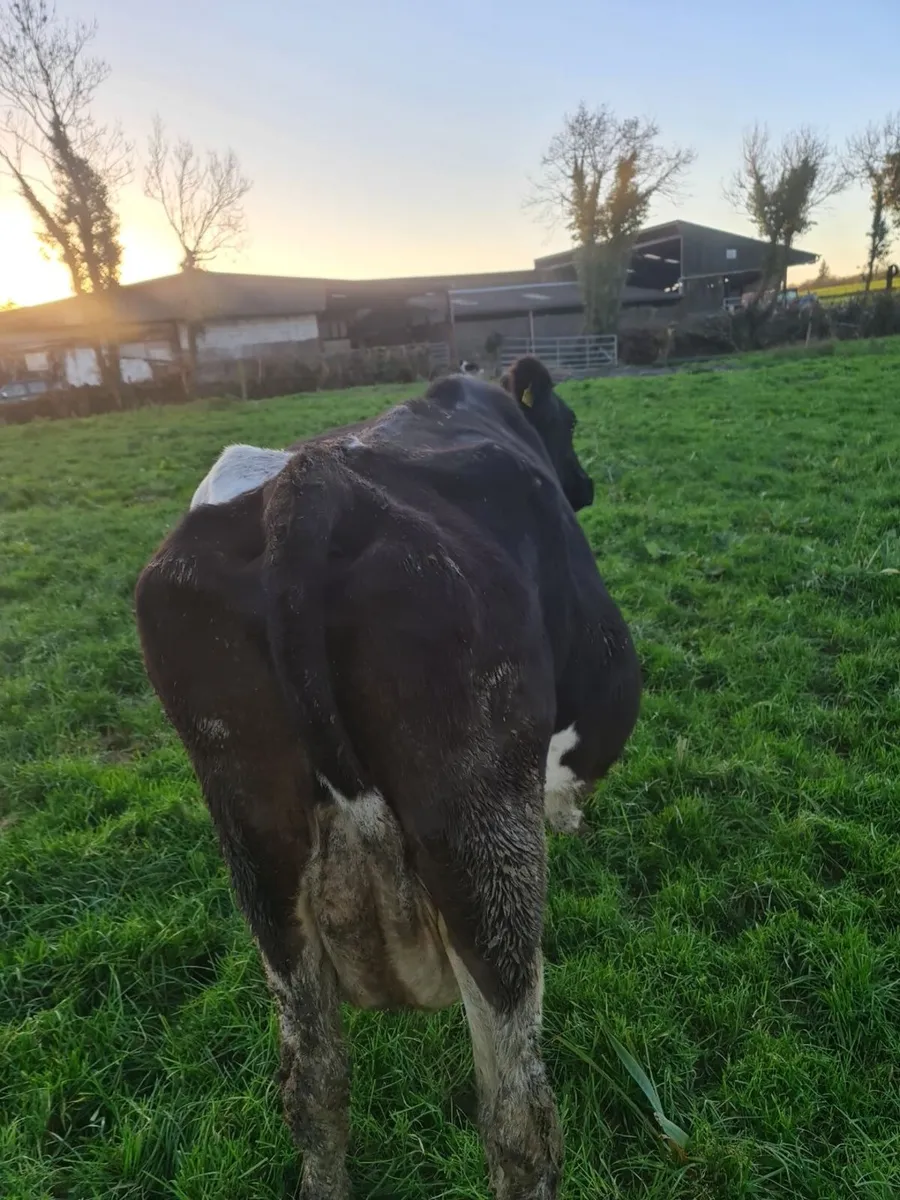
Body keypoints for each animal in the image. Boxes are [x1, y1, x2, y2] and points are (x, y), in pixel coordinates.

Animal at [134, 356, 641, 1200]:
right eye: (567, 421)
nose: (589, 486)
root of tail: (307, 488)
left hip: (258, 852)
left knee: (312, 1087)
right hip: (481, 836)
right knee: (518, 1119)